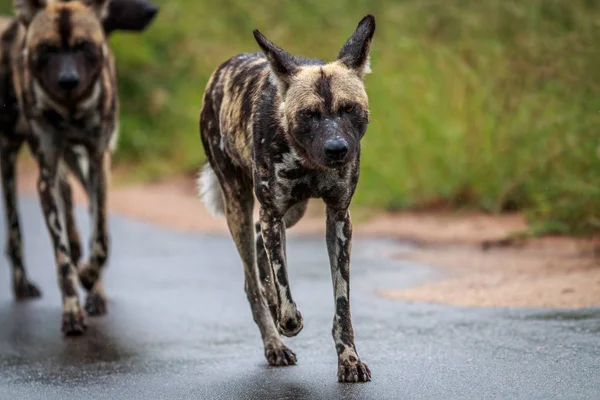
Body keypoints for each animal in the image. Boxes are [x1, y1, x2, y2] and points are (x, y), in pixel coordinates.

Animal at [0, 0, 156, 336]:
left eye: (83, 46)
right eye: (47, 49)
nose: (68, 81)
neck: (70, 111)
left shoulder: (98, 163)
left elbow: (100, 240)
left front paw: (89, 278)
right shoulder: (45, 175)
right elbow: (61, 257)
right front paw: (72, 309)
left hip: (76, 166)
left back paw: (93, 289)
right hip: (11, 160)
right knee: (15, 231)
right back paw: (22, 284)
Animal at [197, 14, 376, 382]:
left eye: (348, 109)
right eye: (309, 114)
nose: (337, 149)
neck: (307, 161)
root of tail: (223, 68)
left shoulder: (339, 218)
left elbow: (342, 308)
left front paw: (349, 359)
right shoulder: (272, 213)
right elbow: (284, 293)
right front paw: (287, 319)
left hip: (293, 211)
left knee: (258, 244)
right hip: (240, 205)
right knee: (252, 280)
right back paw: (274, 342)